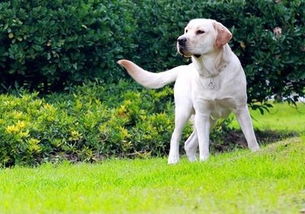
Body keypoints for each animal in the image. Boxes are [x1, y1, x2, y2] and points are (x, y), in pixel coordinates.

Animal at [117, 18, 258, 164]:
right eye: (186, 30)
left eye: (200, 31)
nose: (180, 40)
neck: (212, 73)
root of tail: (183, 68)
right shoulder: (202, 113)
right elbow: (203, 144)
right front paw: (205, 161)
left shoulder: (241, 109)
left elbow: (251, 137)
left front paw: (256, 154)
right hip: (184, 112)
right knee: (175, 136)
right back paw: (173, 160)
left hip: (210, 120)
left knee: (189, 143)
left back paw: (193, 163)